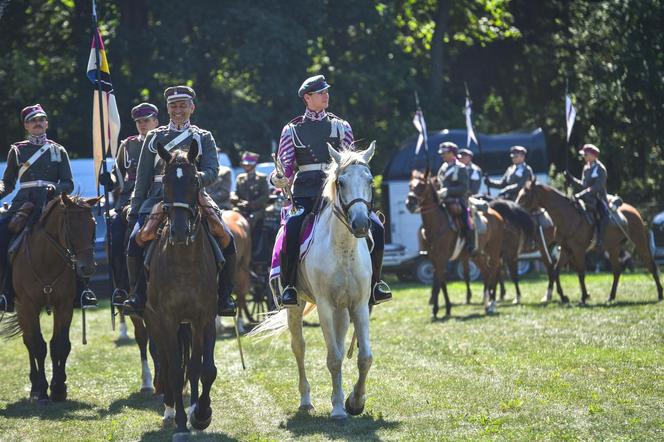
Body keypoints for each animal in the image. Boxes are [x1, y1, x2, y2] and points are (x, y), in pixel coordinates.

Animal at [0, 195, 98, 402]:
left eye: (92, 224)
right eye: (71, 226)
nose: (87, 268)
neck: (46, 259)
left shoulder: (64, 306)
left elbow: (59, 345)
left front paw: (59, 388)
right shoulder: (27, 306)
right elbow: (38, 346)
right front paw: (43, 390)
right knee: (29, 341)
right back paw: (35, 386)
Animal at [144, 140, 219, 436]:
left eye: (195, 181)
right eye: (165, 181)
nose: (177, 231)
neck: (185, 262)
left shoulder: (204, 317)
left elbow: (203, 369)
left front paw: (200, 414)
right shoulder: (165, 319)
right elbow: (175, 370)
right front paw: (179, 423)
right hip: (155, 322)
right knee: (165, 363)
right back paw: (169, 409)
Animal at [249, 143, 376, 420]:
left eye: (370, 180)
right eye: (341, 182)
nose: (361, 224)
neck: (343, 249)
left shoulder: (359, 305)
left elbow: (364, 357)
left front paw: (355, 401)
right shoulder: (325, 306)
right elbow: (334, 359)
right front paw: (338, 409)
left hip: (342, 310)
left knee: (339, 342)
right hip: (296, 307)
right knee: (299, 348)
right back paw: (306, 401)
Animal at [404, 170, 504, 318]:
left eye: (422, 185)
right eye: (410, 185)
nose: (410, 203)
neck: (437, 224)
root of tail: (497, 215)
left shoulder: (442, 258)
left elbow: (437, 282)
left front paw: (435, 310)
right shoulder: (434, 259)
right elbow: (442, 282)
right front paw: (447, 308)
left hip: (493, 251)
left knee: (493, 272)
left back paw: (491, 304)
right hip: (477, 254)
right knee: (486, 273)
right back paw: (486, 304)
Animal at [516, 180, 660, 304]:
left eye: (525, 195)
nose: (515, 208)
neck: (568, 216)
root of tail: (634, 211)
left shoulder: (578, 250)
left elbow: (580, 272)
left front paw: (584, 296)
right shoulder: (566, 250)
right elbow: (556, 271)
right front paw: (564, 297)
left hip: (640, 243)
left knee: (651, 266)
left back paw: (660, 294)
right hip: (613, 248)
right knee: (617, 270)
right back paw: (611, 297)